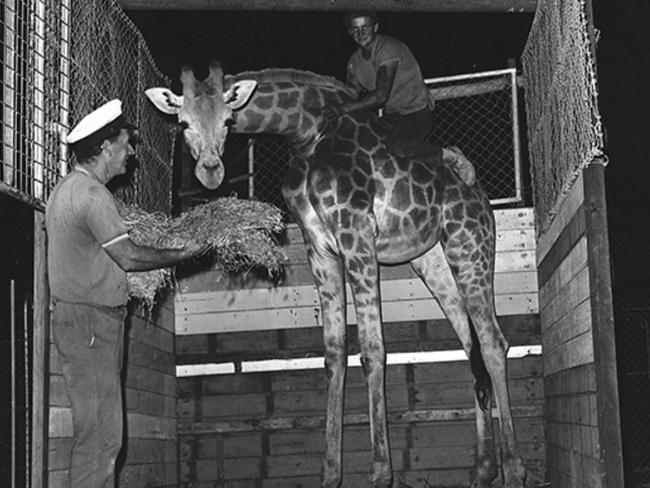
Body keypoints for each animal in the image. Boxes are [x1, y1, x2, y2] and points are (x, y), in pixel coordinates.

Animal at [147, 65, 528, 488]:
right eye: (182, 123)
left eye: (230, 120)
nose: (210, 172)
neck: (305, 132)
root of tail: (481, 196)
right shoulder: (321, 248)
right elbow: (333, 355)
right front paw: (331, 473)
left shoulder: (356, 236)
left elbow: (373, 350)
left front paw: (380, 472)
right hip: (431, 259)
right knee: (469, 342)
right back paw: (483, 470)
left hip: (470, 243)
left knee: (493, 342)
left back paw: (514, 469)